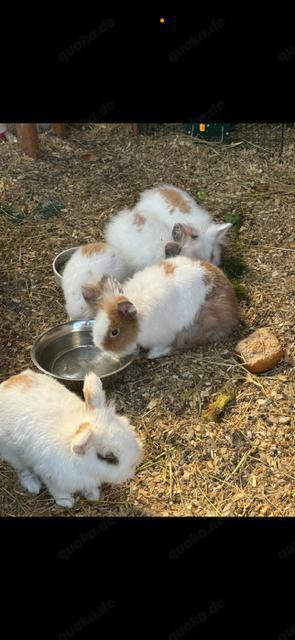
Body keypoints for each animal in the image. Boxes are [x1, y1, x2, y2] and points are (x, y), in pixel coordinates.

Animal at [0, 368, 144, 508]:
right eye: (108, 458)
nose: (134, 464)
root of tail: (7, 383)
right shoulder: (52, 479)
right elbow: (58, 492)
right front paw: (67, 502)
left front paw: (93, 495)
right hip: (12, 456)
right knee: (23, 471)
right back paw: (33, 486)